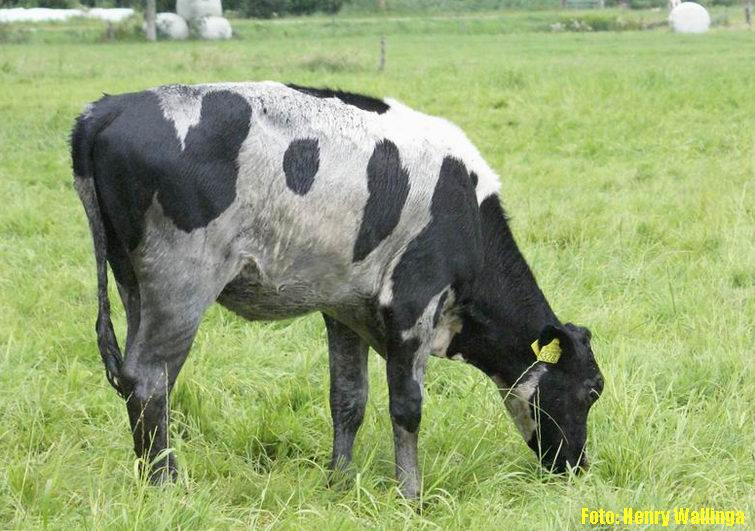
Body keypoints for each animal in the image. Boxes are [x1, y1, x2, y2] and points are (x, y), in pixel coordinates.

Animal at [72, 81, 603, 498]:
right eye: (591, 390)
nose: (577, 467)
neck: (466, 215)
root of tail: (108, 107)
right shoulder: (413, 303)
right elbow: (407, 407)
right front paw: (410, 495)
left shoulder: (345, 308)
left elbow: (347, 400)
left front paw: (339, 482)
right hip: (179, 287)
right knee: (149, 382)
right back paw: (164, 484)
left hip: (132, 284)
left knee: (134, 380)